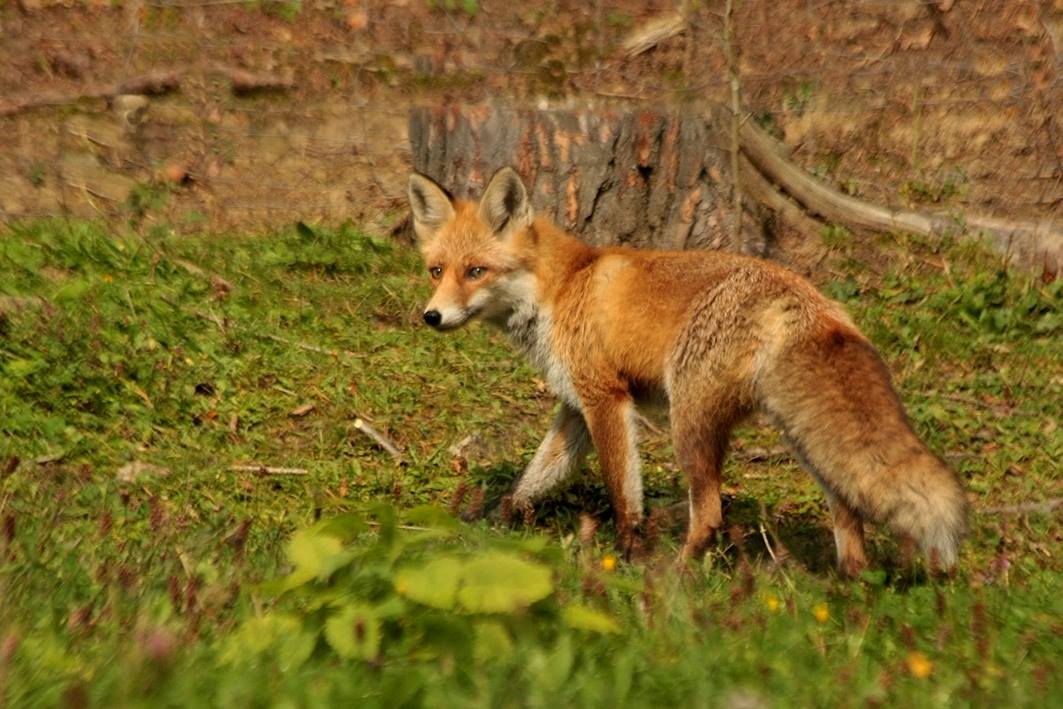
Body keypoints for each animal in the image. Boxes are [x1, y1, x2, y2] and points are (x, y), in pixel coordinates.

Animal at [410, 167, 969, 578]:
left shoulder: (606, 398)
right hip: (802, 438)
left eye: (476, 271)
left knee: (711, 514)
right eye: (437, 271)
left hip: (690, 421)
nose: (431, 317)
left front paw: (628, 557)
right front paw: (489, 528)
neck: (562, 288)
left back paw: (675, 578)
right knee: (848, 513)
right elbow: (531, 482)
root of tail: (808, 298)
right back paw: (849, 587)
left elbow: (623, 494)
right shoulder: (574, 407)